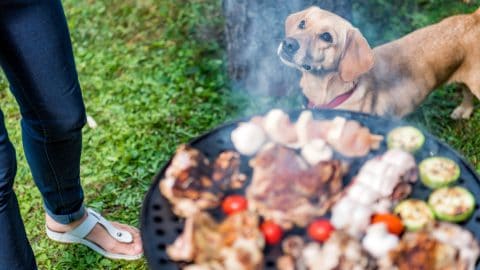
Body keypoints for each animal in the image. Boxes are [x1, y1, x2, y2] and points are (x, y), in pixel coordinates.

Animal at [278, 6, 480, 118]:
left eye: (326, 36)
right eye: (302, 23)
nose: (288, 44)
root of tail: (473, 18)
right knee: (466, 93)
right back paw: (464, 110)